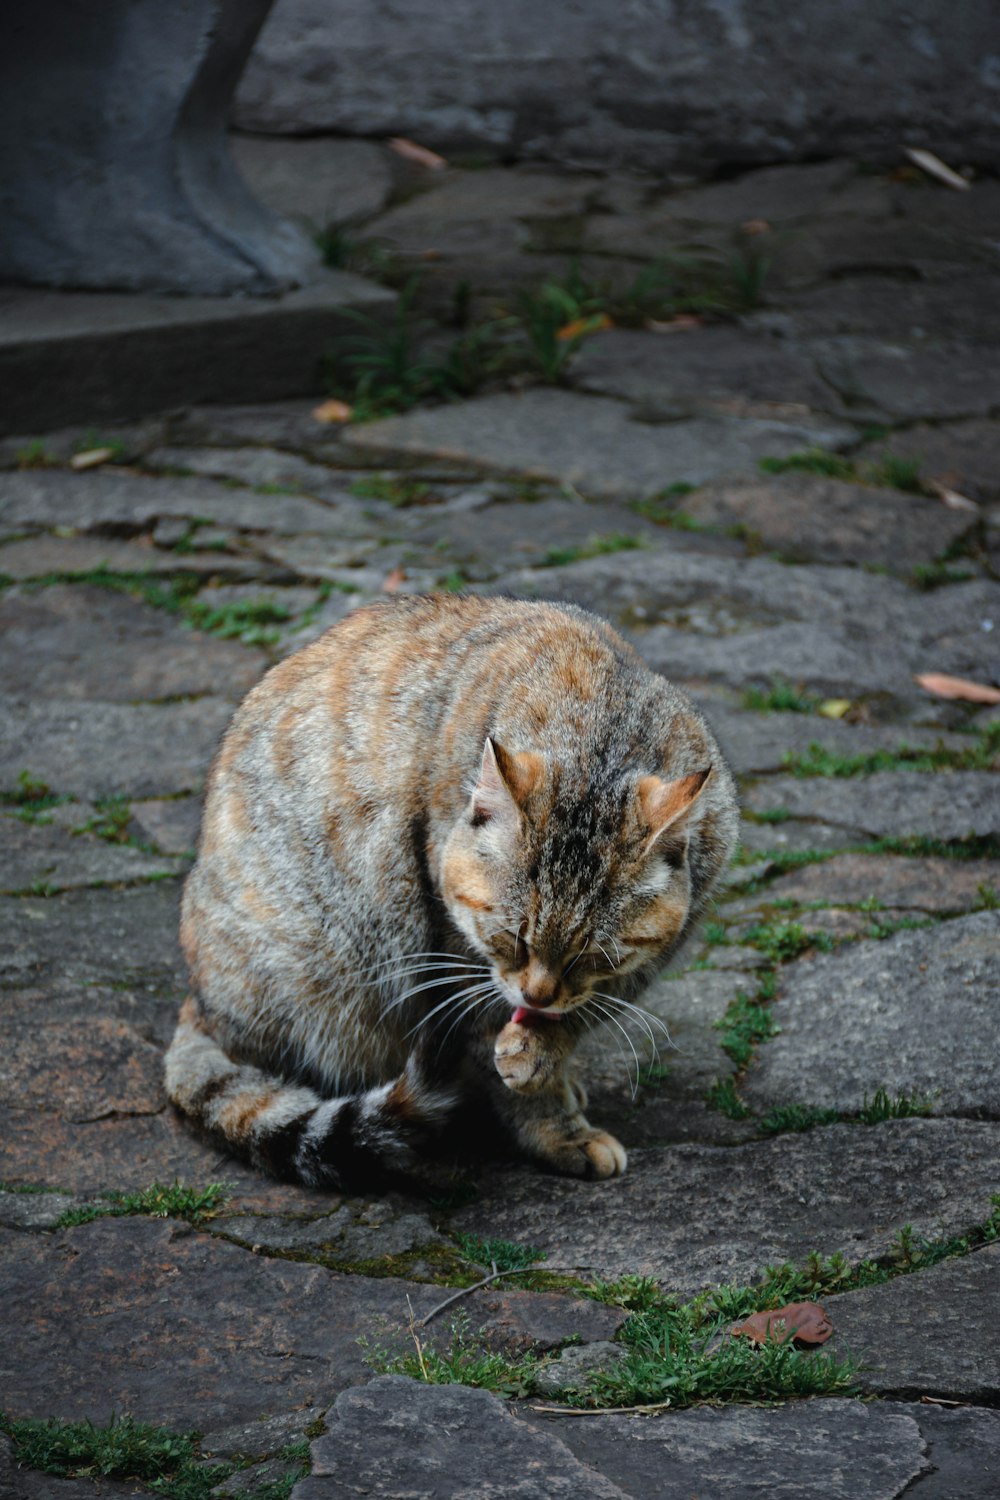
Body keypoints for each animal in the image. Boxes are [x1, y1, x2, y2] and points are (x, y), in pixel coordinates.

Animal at [164, 591, 740, 1188]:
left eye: (591, 954)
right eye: (512, 935)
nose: (537, 996)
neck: (601, 732)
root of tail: (199, 1002)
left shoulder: (657, 943)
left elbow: (581, 1012)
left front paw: (545, 1055)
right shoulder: (452, 948)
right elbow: (490, 1039)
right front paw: (554, 1129)